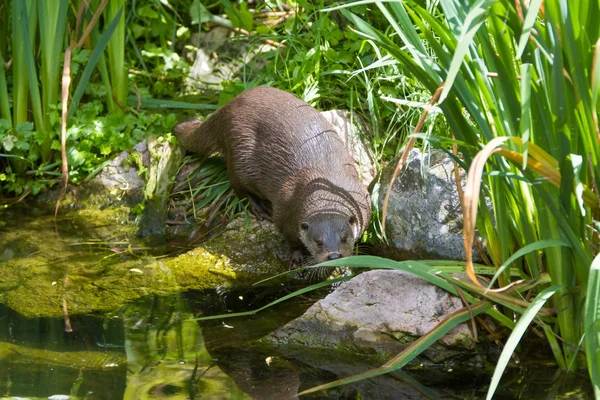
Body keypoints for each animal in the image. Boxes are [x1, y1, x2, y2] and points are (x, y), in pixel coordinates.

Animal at [172, 86, 370, 268]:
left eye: (344, 237)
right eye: (318, 242)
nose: (334, 255)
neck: (325, 187)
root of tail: (227, 107)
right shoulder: (284, 210)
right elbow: (290, 239)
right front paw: (297, 257)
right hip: (240, 152)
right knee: (237, 184)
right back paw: (260, 207)